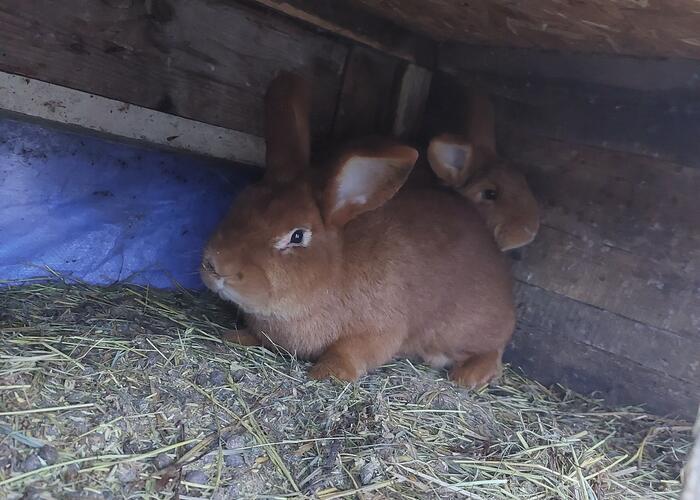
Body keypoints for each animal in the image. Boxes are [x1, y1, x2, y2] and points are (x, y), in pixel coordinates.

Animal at [200, 73, 516, 386]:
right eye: (241, 202)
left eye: (297, 235)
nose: (216, 266)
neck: (335, 271)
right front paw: (235, 336)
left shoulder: (380, 331)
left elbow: (351, 350)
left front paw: (330, 372)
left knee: (494, 352)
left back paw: (468, 377)